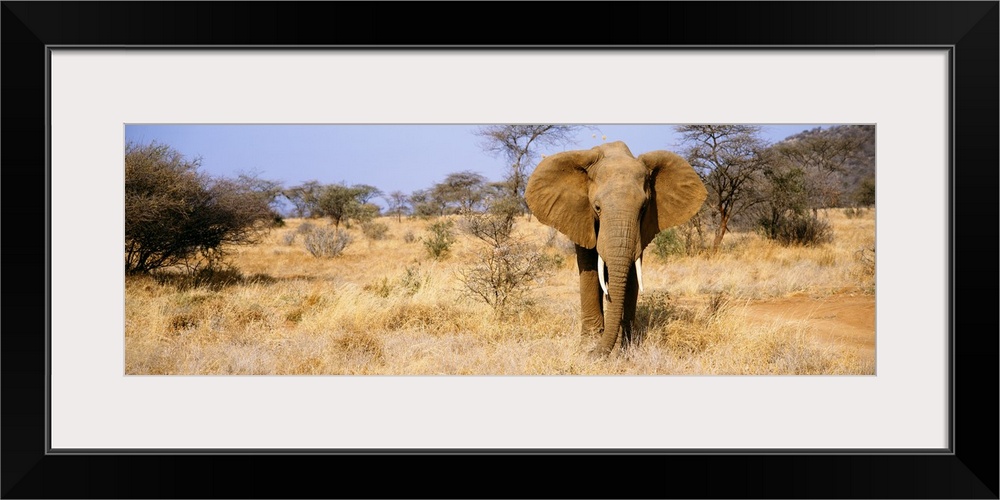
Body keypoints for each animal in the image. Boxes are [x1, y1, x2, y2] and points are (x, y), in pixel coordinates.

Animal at [528, 140, 708, 356]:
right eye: (597, 208)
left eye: (644, 208)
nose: (594, 354)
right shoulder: (581, 218)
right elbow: (589, 270)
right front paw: (589, 344)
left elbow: (631, 274)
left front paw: (624, 346)